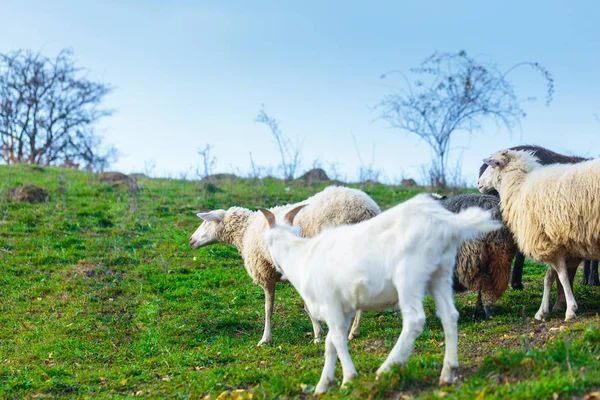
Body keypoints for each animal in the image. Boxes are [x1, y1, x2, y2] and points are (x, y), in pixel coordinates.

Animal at [188, 186, 380, 346]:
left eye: (206, 222)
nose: (190, 240)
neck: (245, 232)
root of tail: (368, 208)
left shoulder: (265, 273)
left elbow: (268, 308)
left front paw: (266, 338)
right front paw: (318, 333)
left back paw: (353, 330)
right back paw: (353, 329)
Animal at [258, 194, 502, 394]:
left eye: (267, 241)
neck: (301, 256)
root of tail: (447, 223)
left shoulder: (331, 303)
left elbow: (337, 340)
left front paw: (349, 378)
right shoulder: (343, 308)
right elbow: (330, 343)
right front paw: (323, 384)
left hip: (409, 275)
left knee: (415, 320)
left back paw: (386, 368)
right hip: (440, 274)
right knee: (450, 316)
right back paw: (447, 372)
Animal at [480, 150, 600, 322]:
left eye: (492, 165)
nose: (478, 184)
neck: (519, 188)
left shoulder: (546, 243)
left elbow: (562, 277)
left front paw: (570, 310)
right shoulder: (553, 244)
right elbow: (549, 278)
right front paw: (542, 312)